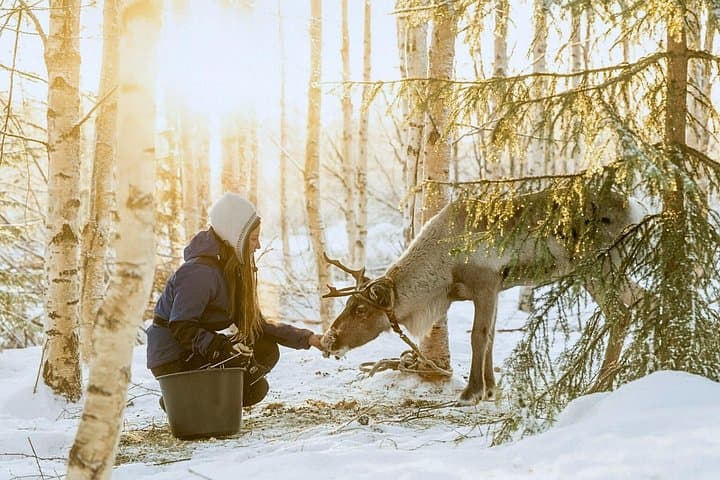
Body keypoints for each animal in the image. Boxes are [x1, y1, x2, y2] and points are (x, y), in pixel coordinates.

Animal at [320, 189, 646, 405]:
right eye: (348, 303)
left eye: (361, 309)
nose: (329, 340)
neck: (443, 271)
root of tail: (635, 208)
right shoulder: (496, 289)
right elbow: (490, 337)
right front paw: (490, 389)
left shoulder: (485, 284)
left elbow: (479, 336)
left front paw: (471, 392)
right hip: (612, 268)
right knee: (644, 297)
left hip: (598, 265)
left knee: (620, 312)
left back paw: (598, 384)